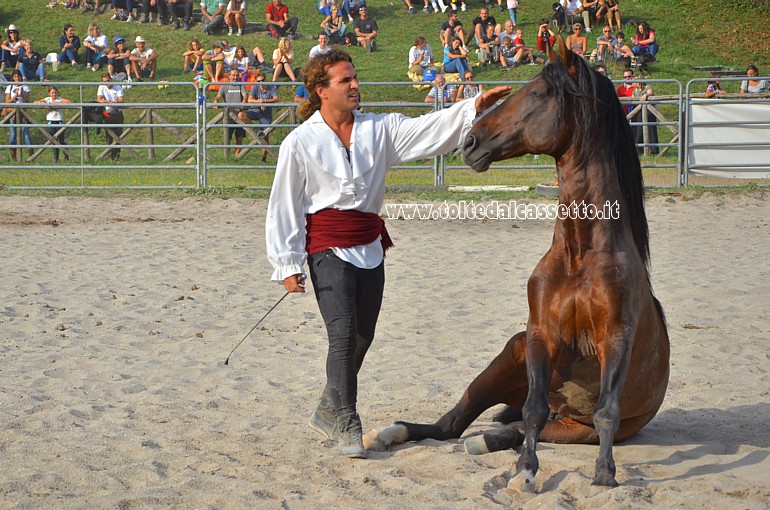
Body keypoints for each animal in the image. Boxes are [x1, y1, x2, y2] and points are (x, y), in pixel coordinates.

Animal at [362, 36, 664, 490]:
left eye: (538, 93)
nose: (470, 142)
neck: (580, 256)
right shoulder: (540, 335)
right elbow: (532, 409)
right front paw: (524, 470)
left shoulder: (616, 338)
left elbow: (604, 410)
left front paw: (604, 474)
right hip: (509, 356)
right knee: (458, 423)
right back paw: (390, 433)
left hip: (573, 427)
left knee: (516, 427)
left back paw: (484, 440)